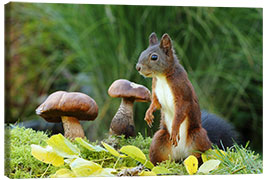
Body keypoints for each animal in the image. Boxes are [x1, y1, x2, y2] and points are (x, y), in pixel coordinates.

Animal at [136, 32, 212, 165]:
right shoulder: (155, 90)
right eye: (142, 52)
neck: (161, 77)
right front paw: (148, 114)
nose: (138, 67)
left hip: (198, 137)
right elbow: (155, 103)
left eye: (154, 57)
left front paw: (175, 129)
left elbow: (181, 110)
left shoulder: (182, 92)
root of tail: (180, 156)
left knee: (200, 156)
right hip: (159, 140)